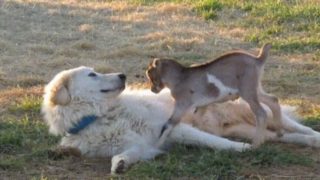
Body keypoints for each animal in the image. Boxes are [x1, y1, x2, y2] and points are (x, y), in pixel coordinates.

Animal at [42, 67, 320, 174]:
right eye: (92, 74)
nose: (122, 75)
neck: (99, 116)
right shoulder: (142, 146)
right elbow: (123, 155)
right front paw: (120, 165)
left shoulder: (174, 129)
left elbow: (217, 143)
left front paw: (242, 150)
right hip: (247, 127)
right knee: (285, 135)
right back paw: (306, 142)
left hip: (251, 110)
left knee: (293, 123)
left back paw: (315, 137)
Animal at [146, 44, 282, 148]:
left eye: (150, 74)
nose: (152, 89)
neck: (180, 77)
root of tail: (258, 59)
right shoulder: (202, 105)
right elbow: (197, 121)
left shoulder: (182, 103)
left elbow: (168, 124)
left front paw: (156, 146)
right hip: (255, 89)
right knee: (273, 100)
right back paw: (279, 133)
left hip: (247, 91)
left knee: (261, 114)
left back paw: (256, 144)